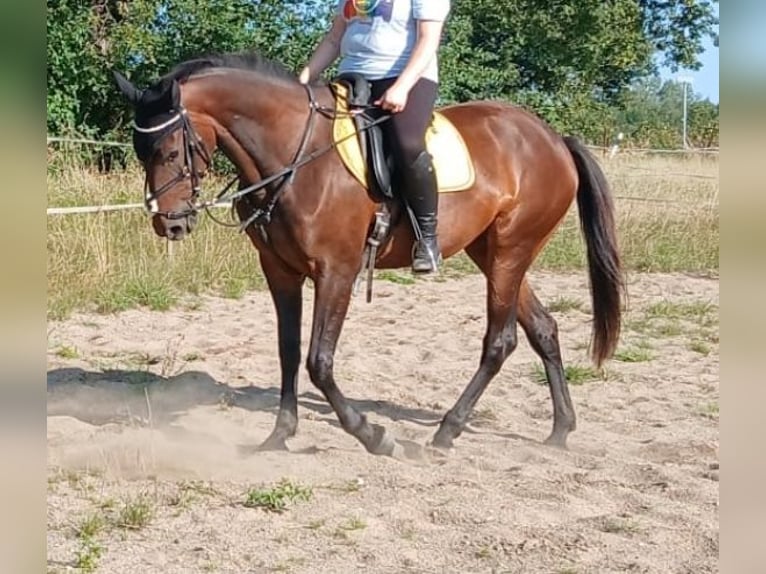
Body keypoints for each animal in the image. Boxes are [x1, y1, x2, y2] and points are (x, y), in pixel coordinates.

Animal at [115, 55, 624, 460]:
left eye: (168, 149)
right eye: (142, 152)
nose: (170, 224)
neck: (296, 157)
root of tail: (553, 138)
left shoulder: (336, 272)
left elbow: (319, 361)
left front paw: (373, 435)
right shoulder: (280, 271)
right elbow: (287, 351)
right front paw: (279, 434)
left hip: (509, 252)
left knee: (500, 341)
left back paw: (447, 431)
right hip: (493, 252)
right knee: (542, 328)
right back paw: (560, 430)